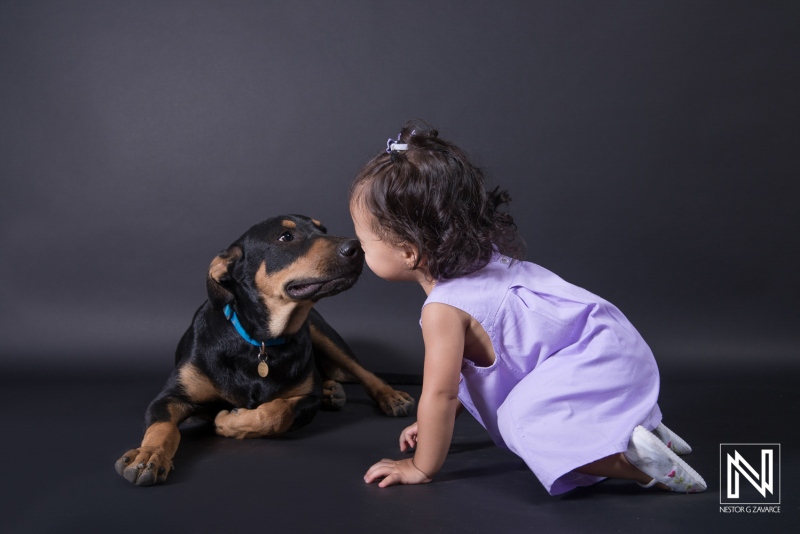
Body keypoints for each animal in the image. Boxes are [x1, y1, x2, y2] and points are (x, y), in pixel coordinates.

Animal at [115, 216, 416, 488]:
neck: (261, 341)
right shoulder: (169, 398)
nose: (358, 248)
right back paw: (333, 392)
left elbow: (278, 412)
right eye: (286, 237)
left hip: (323, 333)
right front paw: (148, 456)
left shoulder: (306, 399)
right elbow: (162, 428)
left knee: (364, 372)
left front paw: (230, 422)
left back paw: (388, 396)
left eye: (322, 230)